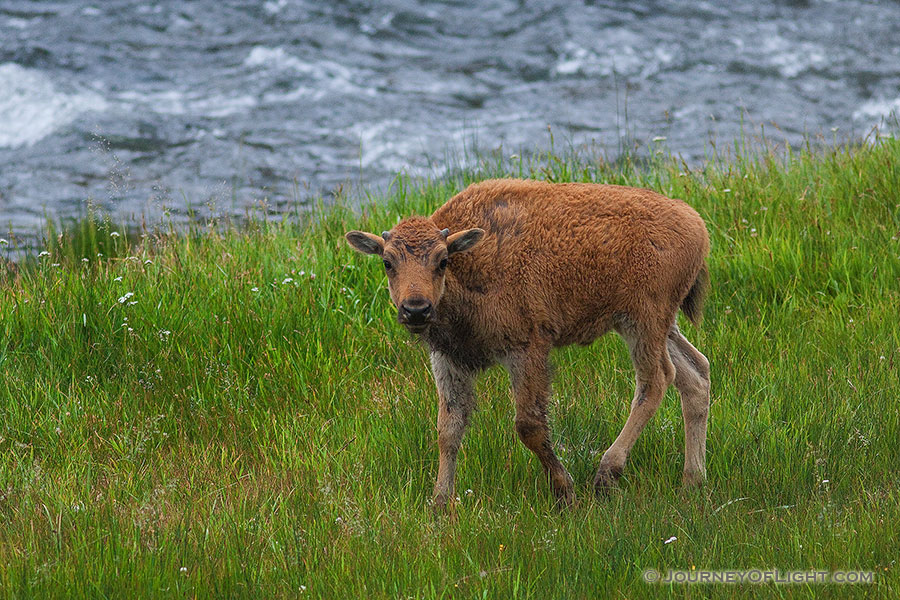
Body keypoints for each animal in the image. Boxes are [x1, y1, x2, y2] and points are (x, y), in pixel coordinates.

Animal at [348, 178, 712, 506]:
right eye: (387, 262)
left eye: (442, 260)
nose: (416, 309)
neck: (469, 262)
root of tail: (696, 223)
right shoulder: (449, 360)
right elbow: (448, 429)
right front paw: (439, 503)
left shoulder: (526, 351)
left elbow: (529, 426)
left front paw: (565, 493)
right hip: (654, 325)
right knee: (695, 374)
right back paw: (692, 481)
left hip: (643, 322)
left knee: (656, 381)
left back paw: (606, 475)